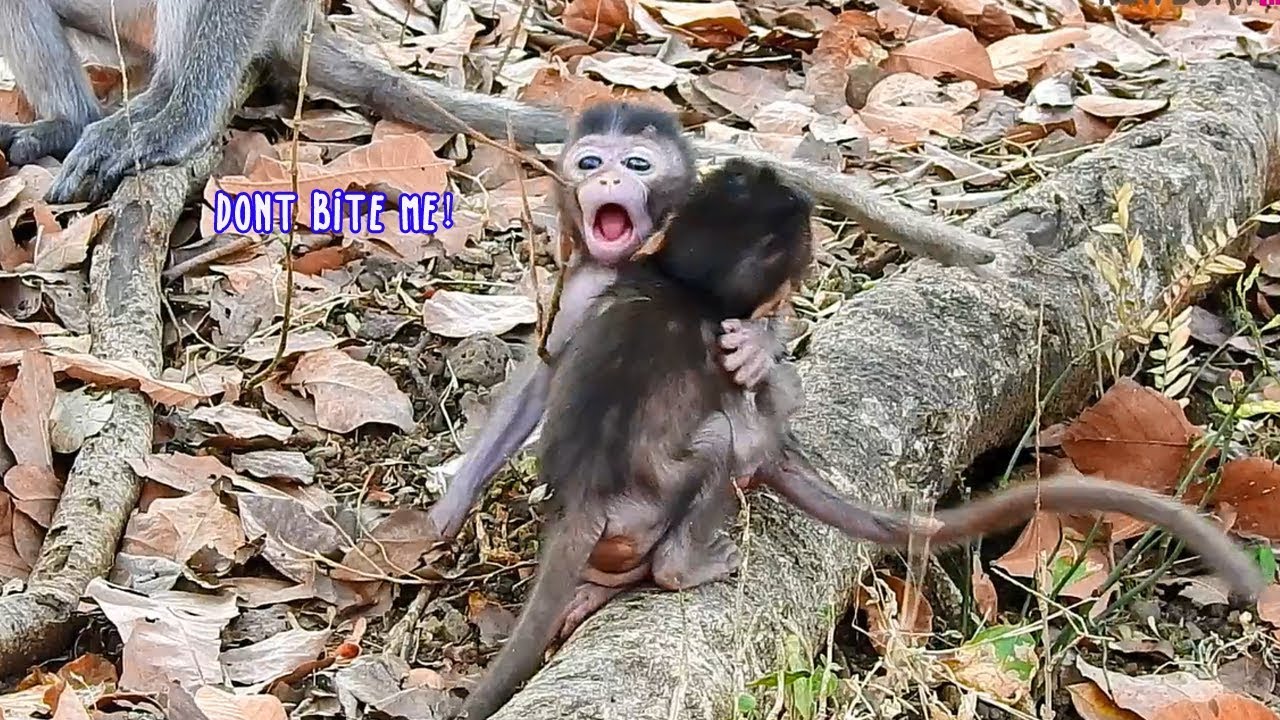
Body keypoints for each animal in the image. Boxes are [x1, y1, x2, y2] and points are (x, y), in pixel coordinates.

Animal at [455, 156, 817, 720]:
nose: (804, 194)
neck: (685, 284)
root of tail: (583, 499)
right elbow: (751, 440)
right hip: (647, 509)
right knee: (718, 443)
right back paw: (683, 568)